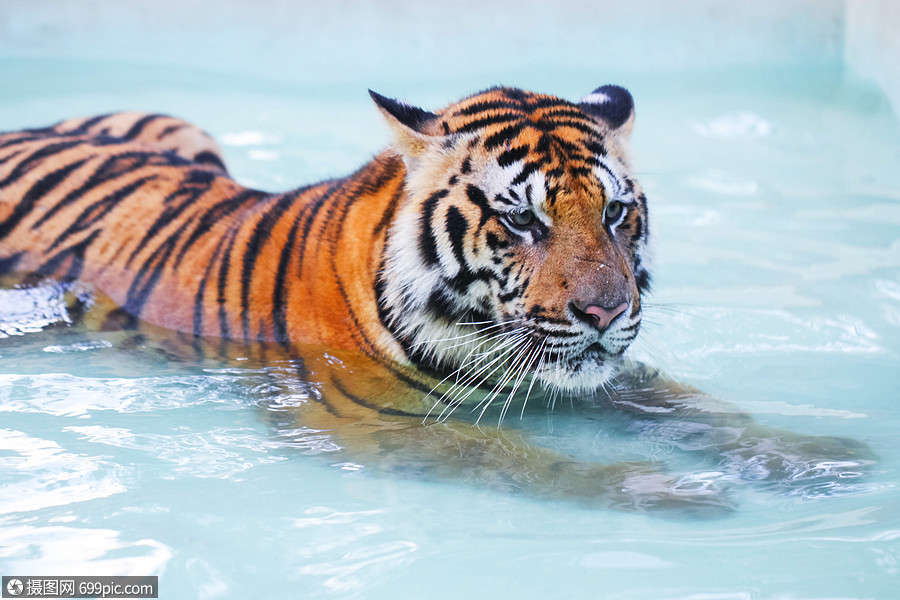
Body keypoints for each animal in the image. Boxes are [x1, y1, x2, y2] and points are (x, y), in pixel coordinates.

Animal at [0, 85, 872, 516]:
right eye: (523, 219)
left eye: (617, 213)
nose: (605, 313)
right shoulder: (362, 422)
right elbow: (517, 459)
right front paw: (660, 487)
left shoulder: (609, 376)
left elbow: (709, 414)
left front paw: (817, 459)